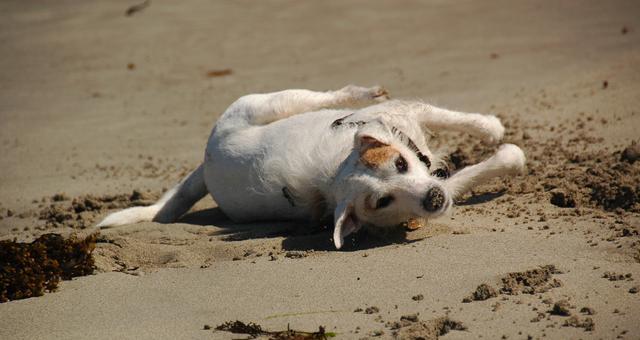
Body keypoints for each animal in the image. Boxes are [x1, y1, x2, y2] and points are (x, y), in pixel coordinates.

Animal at [99, 85, 524, 247]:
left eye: (401, 163)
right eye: (382, 202)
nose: (433, 198)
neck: (336, 169)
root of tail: (206, 162)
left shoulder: (408, 118)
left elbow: (454, 118)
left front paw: (490, 126)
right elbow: (476, 172)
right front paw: (508, 153)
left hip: (269, 105)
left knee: (322, 97)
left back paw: (362, 93)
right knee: (327, 95)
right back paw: (361, 91)